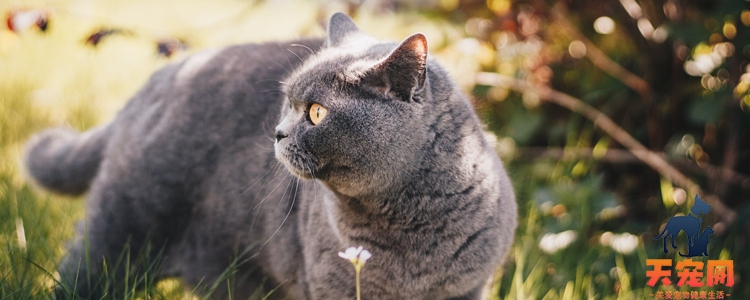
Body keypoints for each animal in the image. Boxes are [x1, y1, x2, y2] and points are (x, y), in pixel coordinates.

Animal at [23, 12, 516, 298]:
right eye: (287, 103)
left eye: (316, 112)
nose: (277, 133)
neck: (410, 222)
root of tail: (162, 77)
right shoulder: (333, 287)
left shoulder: (469, 288)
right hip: (119, 231)